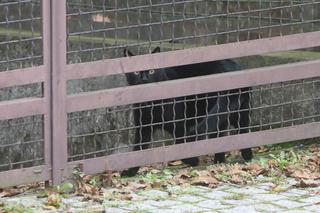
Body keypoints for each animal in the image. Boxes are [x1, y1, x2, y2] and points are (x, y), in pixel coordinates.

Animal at [122, 47, 252, 177]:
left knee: (242, 130)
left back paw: (246, 156)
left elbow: (182, 145)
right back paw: (221, 160)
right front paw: (130, 172)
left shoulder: (179, 124)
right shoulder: (143, 127)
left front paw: (192, 160)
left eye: (151, 71)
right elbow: (138, 151)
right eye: (136, 72)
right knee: (226, 134)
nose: (144, 78)